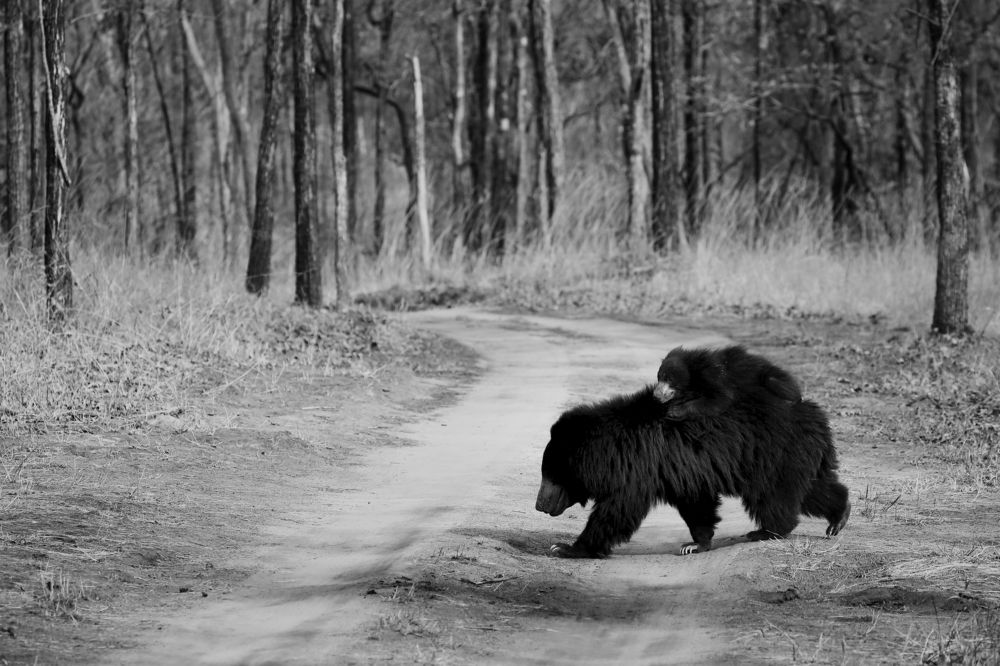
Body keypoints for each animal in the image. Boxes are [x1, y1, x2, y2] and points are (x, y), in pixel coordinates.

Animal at [535, 385, 850, 558]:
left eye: (550, 475)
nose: (539, 504)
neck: (612, 451)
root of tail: (816, 416)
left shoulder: (640, 468)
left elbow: (618, 510)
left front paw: (565, 548)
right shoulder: (677, 468)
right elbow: (696, 503)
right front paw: (696, 544)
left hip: (770, 455)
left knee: (773, 497)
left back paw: (765, 531)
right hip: (792, 458)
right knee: (812, 490)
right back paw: (838, 518)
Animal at [653, 345, 802, 421]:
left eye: (669, 379)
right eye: (659, 377)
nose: (656, 394)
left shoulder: (713, 376)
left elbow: (721, 399)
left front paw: (675, 411)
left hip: (768, 376)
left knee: (778, 383)